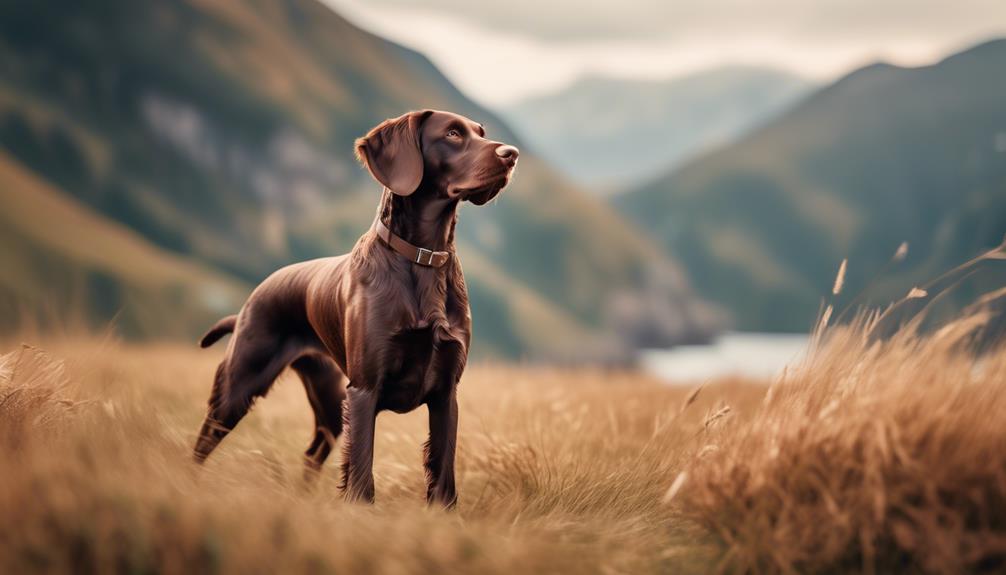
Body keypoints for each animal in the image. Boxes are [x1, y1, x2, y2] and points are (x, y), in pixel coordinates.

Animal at [191, 110, 519, 504]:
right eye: (453, 134)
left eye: (481, 133)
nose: (512, 154)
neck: (424, 258)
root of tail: (254, 296)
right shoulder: (364, 391)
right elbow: (362, 477)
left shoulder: (445, 394)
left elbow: (443, 477)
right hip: (239, 386)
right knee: (202, 443)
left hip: (330, 402)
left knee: (312, 450)